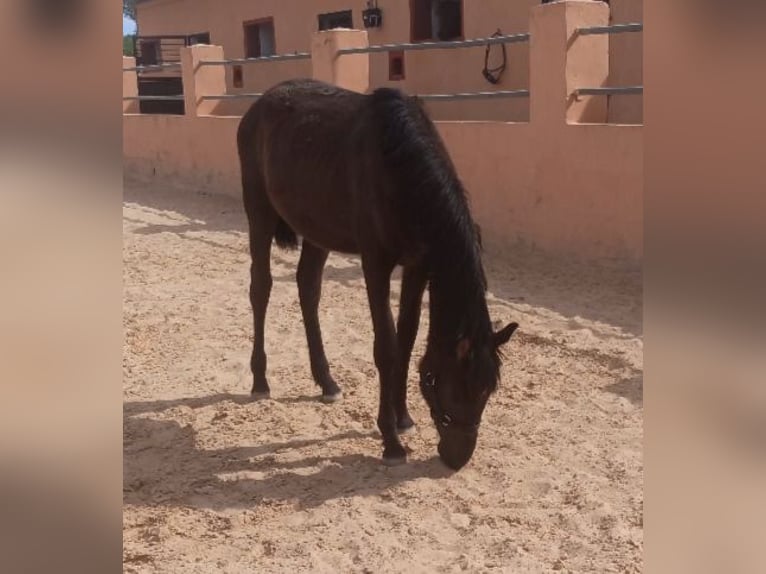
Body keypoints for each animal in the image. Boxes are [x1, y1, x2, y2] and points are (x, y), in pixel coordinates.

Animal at [237, 79, 520, 470]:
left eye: (487, 390)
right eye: (459, 386)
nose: (457, 457)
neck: (401, 170)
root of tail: (259, 105)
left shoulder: (418, 265)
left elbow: (407, 338)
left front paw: (403, 418)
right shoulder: (376, 264)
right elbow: (385, 346)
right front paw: (391, 441)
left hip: (317, 231)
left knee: (308, 288)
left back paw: (326, 381)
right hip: (259, 213)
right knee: (260, 288)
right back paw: (260, 379)